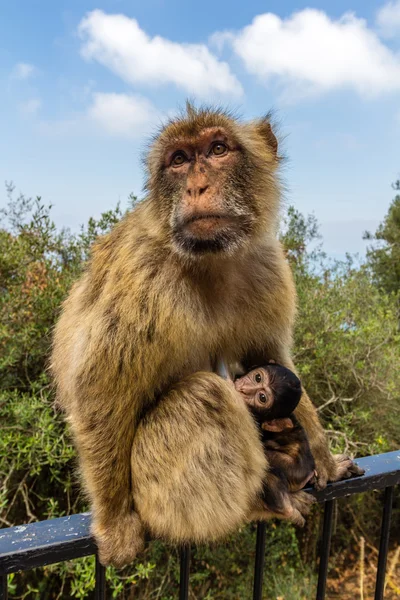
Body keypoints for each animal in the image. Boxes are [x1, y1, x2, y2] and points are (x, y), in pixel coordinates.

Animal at [50, 105, 360, 568]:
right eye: (179, 160)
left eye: (217, 149)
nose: (197, 185)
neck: (211, 259)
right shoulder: (142, 274)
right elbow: (101, 389)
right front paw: (116, 525)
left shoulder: (268, 266)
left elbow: (273, 357)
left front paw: (325, 460)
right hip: (154, 494)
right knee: (203, 396)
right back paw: (259, 505)